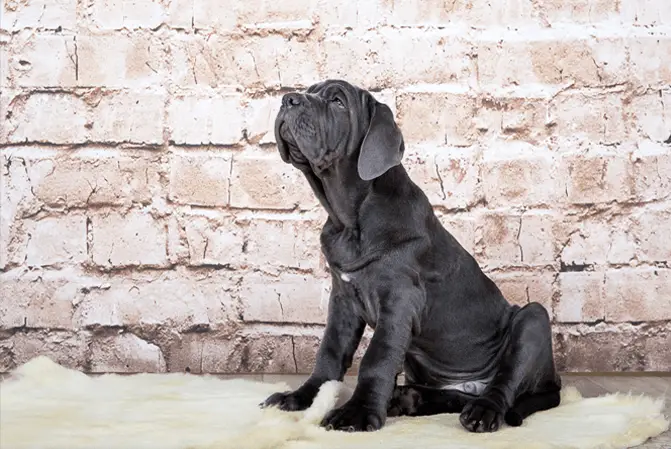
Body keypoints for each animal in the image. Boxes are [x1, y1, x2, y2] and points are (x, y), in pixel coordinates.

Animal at [262, 79, 560, 432]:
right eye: (310, 90)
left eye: (338, 102)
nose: (288, 99)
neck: (349, 221)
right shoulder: (343, 299)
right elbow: (330, 352)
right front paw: (303, 398)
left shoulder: (400, 299)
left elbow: (377, 358)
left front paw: (357, 413)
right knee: (455, 396)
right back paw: (408, 399)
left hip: (532, 318)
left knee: (505, 382)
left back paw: (482, 411)